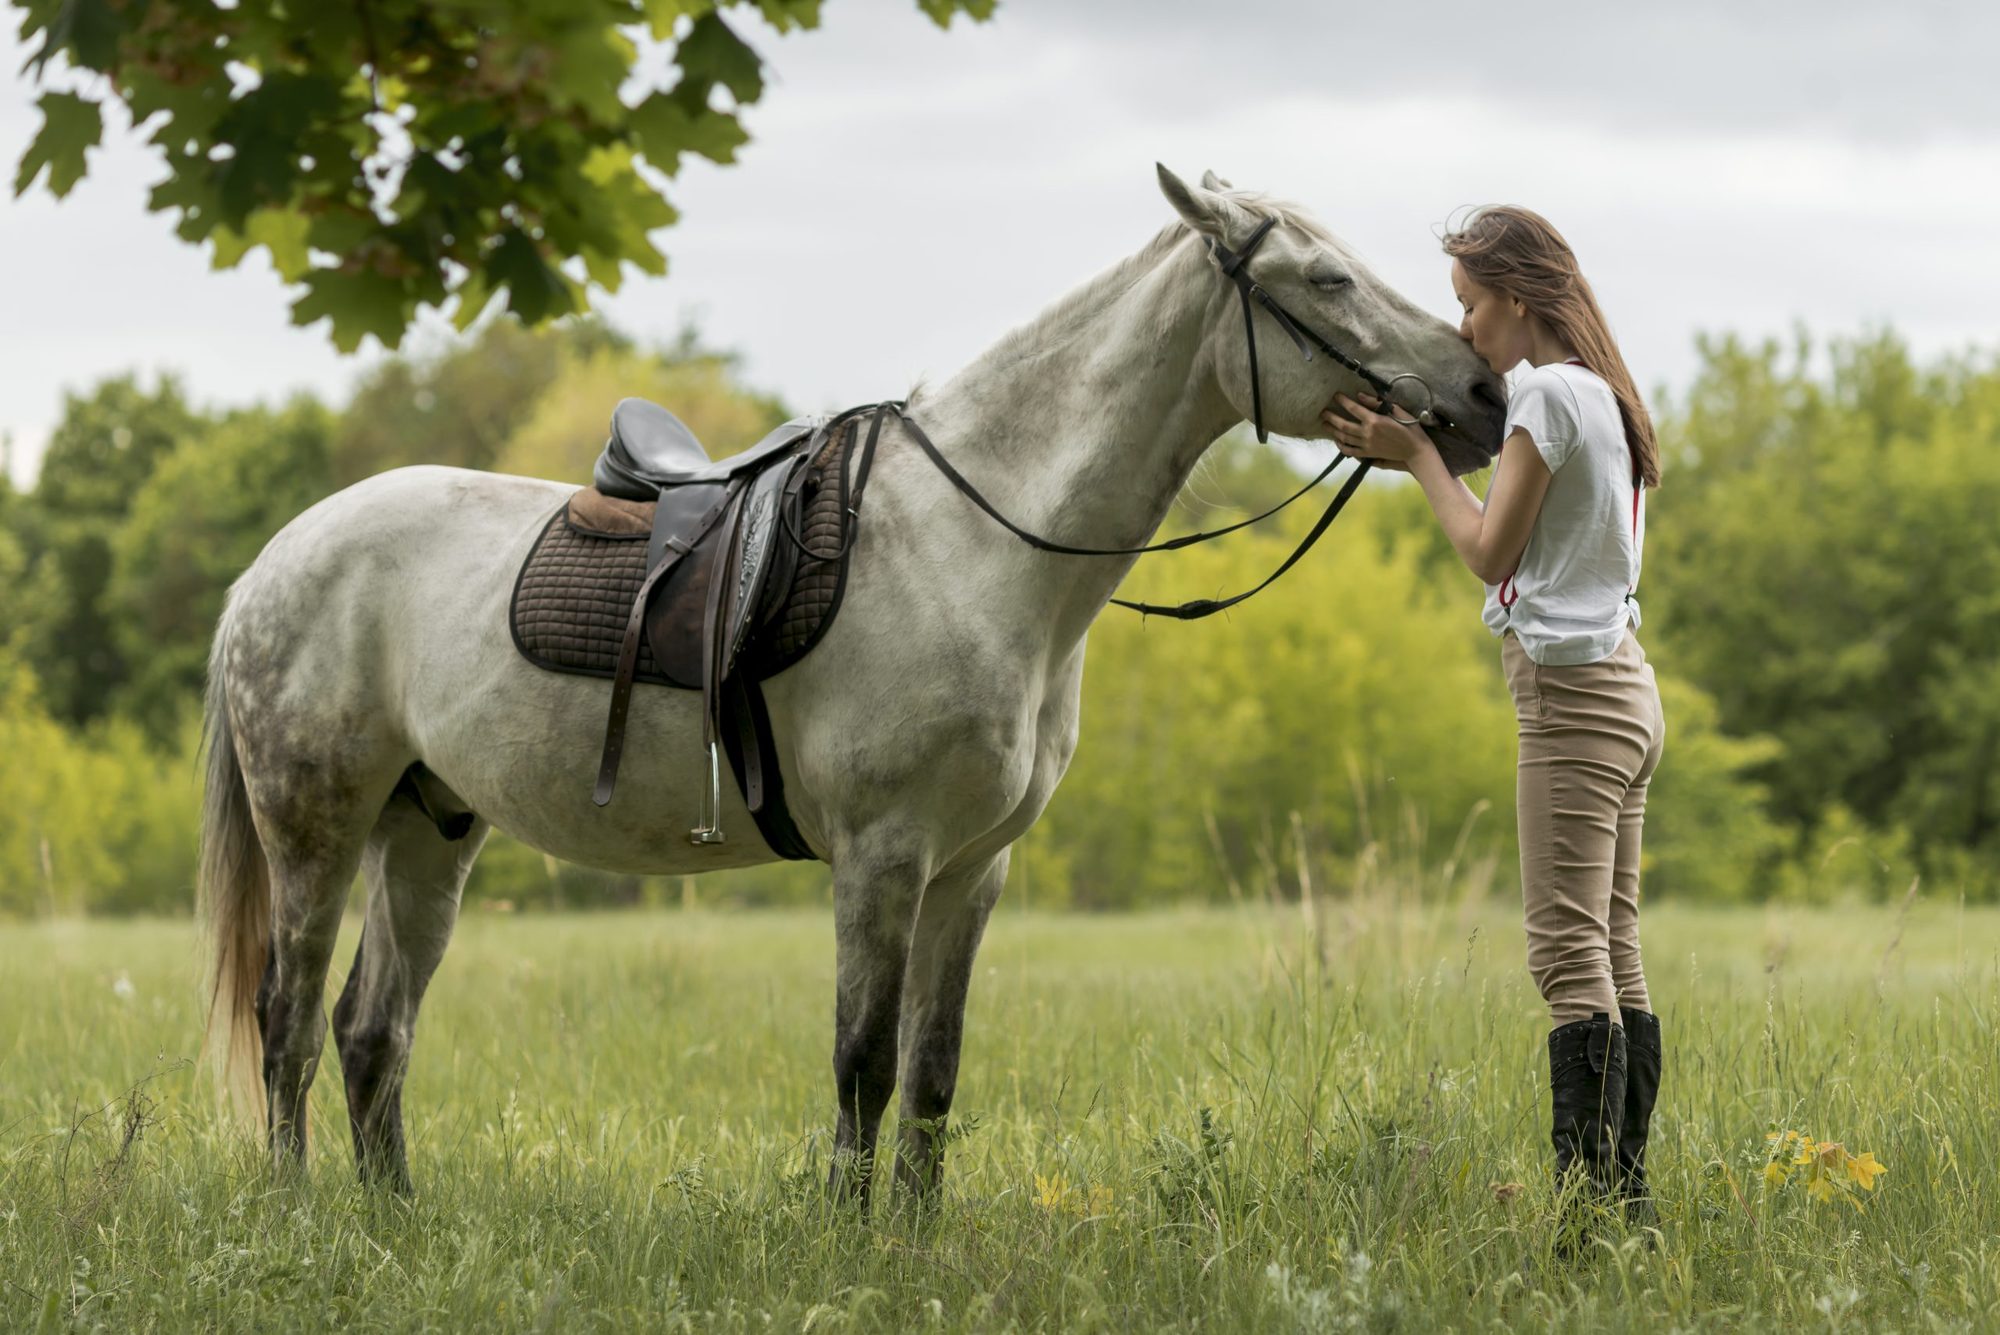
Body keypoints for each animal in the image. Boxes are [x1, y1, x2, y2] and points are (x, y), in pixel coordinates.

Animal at [198, 165, 1507, 1199]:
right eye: (1324, 281)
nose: (1484, 395)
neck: (977, 538)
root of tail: (273, 559)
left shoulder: (971, 871)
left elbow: (930, 1071)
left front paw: (915, 1245)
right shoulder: (882, 856)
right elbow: (862, 1063)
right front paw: (849, 1241)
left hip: (429, 827)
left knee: (371, 1033)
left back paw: (393, 1223)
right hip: (316, 828)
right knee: (287, 1026)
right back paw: (298, 1215)